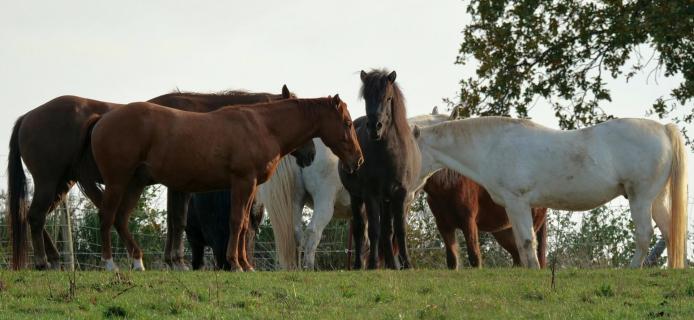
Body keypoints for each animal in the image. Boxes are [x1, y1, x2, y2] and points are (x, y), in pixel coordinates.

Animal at [6, 85, 312, 270]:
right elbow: (178, 221)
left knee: (37, 217)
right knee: (36, 216)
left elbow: (175, 220)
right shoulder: (181, 186)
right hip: (50, 181)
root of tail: (27, 116)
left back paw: (54, 260)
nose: (309, 155)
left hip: (62, 183)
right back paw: (44, 262)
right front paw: (177, 261)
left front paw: (173, 260)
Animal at [90, 96, 364, 272]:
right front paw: (236, 263)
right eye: (348, 123)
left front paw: (245, 264)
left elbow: (242, 225)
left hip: (135, 183)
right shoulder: (243, 182)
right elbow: (236, 222)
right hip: (117, 182)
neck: (262, 126)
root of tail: (102, 119)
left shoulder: (249, 186)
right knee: (107, 217)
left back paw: (137, 262)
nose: (358, 160)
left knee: (120, 219)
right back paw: (110, 264)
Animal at [260, 111, 452, 268]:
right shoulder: (397, 203)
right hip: (324, 202)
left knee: (297, 234)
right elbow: (391, 235)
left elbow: (367, 239)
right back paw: (310, 268)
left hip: (296, 201)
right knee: (312, 232)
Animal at [340, 70, 422, 270]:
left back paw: (392, 264)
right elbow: (373, 230)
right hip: (357, 197)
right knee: (360, 229)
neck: (387, 153)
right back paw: (358, 265)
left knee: (387, 230)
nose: (374, 127)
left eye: (388, 98)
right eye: (365, 97)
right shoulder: (371, 194)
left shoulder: (399, 193)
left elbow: (398, 230)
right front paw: (372, 264)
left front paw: (406, 264)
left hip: (386, 199)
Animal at [414, 117, 692, 268]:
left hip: (640, 198)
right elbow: (523, 243)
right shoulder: (514, 208)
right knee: (670, 233)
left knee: (645, 235)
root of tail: (663, 128)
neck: (493, 145)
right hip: (655, 200)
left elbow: (527, 242)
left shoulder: (517, 203)